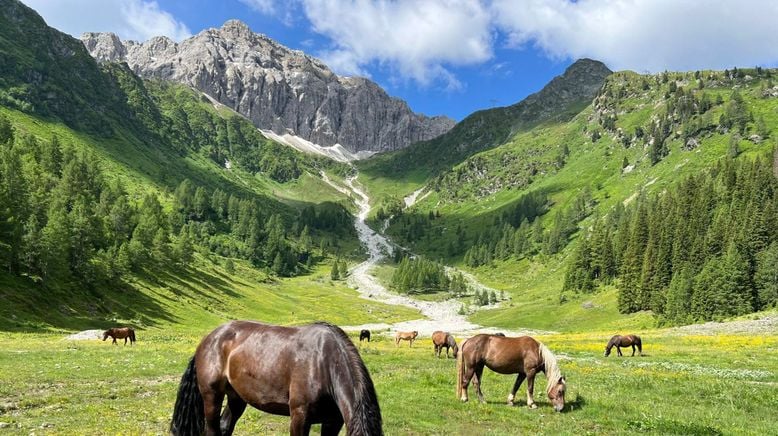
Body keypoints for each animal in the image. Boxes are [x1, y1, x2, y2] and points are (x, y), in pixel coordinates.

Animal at [168, 320, 380, 436]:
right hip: (211, 396)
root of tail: (209, 338)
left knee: (225, 426)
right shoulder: (300, 417)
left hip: (236, 398)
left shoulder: (333, 421)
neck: (325, 363)